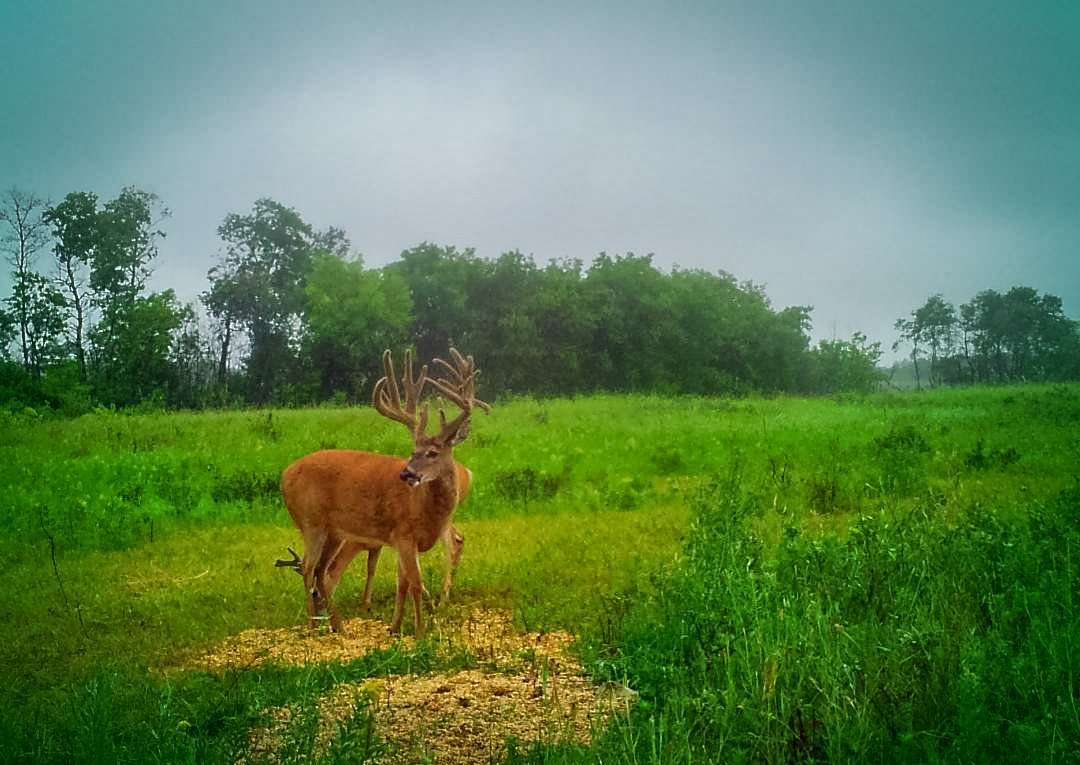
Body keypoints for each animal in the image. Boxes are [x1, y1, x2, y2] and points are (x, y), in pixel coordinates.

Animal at [276, 350, 488, 635]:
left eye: (432, 453)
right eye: (413, 451)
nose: (407, 474)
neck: (424, 509)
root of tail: (284, 475)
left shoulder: (398, 539)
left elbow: (403, 583)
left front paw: (395, 628)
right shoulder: (404, 534)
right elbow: (416, 583)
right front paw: (420, 632)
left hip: (335, 532)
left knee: (322, 571)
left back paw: (337, 625)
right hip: (311, 521)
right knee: (310, 568)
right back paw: (314, 626)